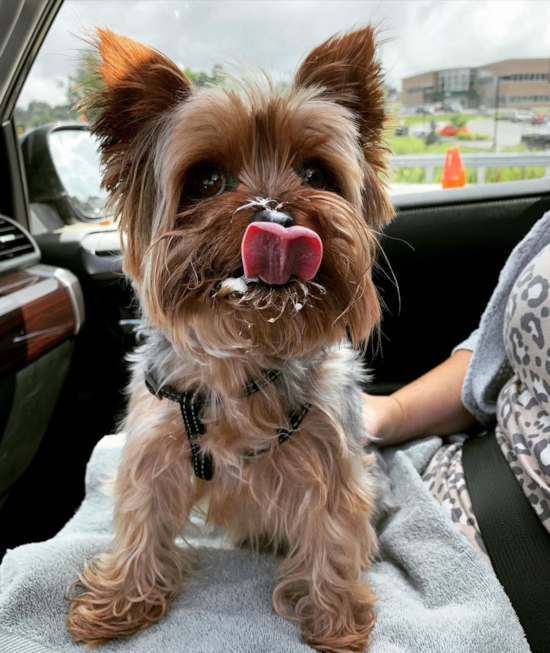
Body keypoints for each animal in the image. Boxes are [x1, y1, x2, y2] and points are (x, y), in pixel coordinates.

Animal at [67, 26, 394, 652]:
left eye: (315, 174)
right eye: (208, 179)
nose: (278, 218)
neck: (247, 347)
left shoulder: (332, 454)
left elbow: (333, 529)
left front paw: (335, 620)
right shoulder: (157, 439)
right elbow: (143, 515)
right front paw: (119, 602)